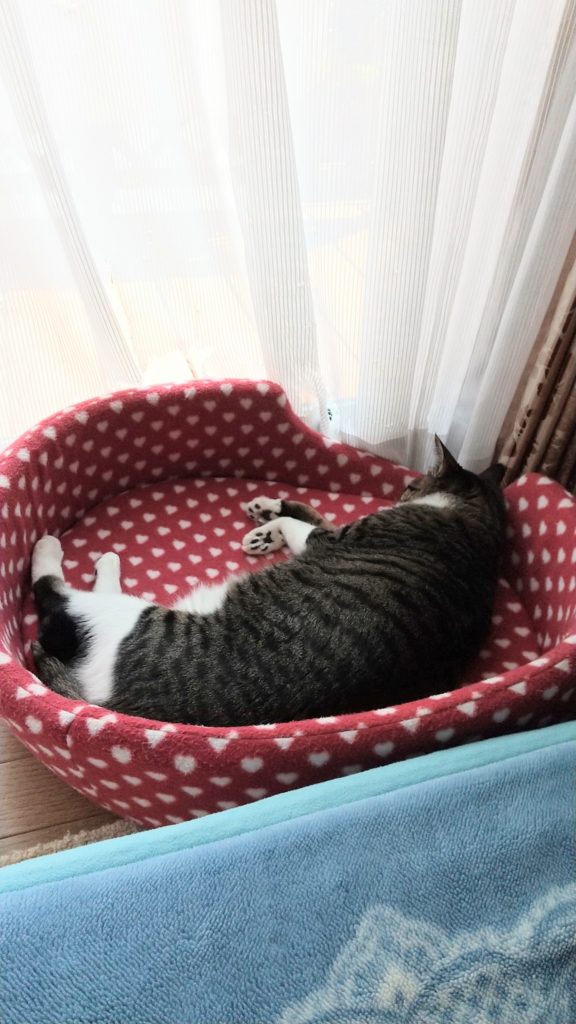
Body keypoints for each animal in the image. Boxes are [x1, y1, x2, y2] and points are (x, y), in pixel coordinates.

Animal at [31, 439, 507, 726]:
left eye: (410, 485)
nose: (403, 491)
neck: (482, 532)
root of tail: (111, 706)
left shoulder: (332, 539)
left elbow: (306, 526)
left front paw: (272, 525)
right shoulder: (332, 531)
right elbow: (309, 512)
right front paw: (267, 516)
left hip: (127, 619)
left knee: (55, 598)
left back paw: (53, 548)